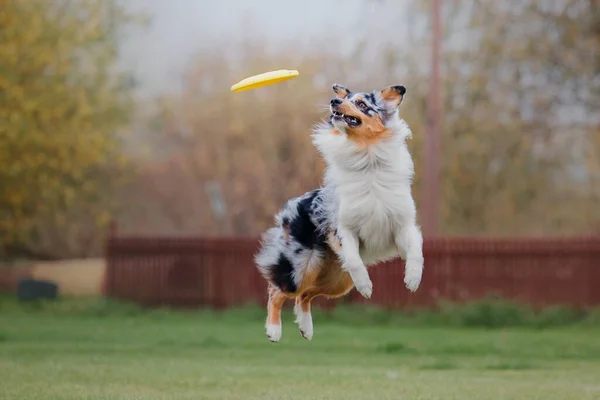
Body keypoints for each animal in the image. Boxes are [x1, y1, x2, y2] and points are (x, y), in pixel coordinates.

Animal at [255, 83, 424, 342]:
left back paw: (306, 328)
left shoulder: (401, 225)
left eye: (362, 104)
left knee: (304, 295)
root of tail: (290, 205)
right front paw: (366, 287)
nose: (334, 101)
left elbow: (416, 251)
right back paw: (274, 330)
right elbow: (354, 260)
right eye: (345, 99)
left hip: (337, 280)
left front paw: (413, 279)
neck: (368, 158)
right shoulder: (343, 229)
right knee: (278, 290)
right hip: (301, 267)